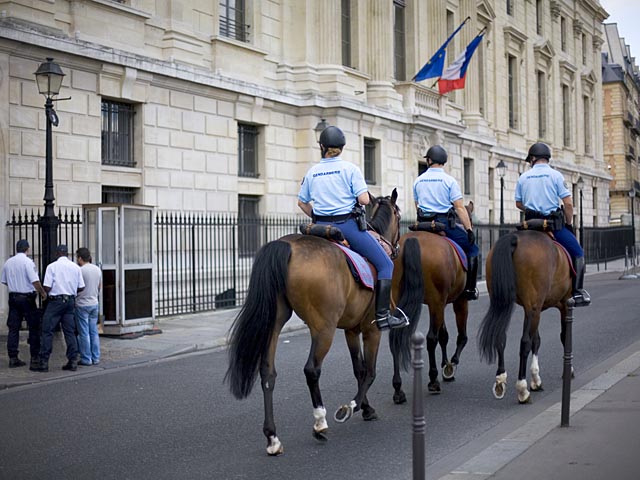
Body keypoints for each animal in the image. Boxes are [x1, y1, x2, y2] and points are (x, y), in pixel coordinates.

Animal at [225, 189, 400, 456]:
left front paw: (366, 408)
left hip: (276, 323)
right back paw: (320, 422)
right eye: (399, 215)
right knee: (311, 370)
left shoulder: (351, 330)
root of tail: (286, 245)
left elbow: (359, 370)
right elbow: (369, 371)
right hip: (323, 328)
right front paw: (351, 407)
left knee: (268, 373)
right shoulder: (372, 329)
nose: (397, 247)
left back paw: (273, 438)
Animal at [388, 202, 472, 402]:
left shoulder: (440, 303)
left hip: (399, 301)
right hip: (437, 301)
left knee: (395, 337)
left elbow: (444, 335)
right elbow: (459, 336)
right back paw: (433, 380)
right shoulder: (457, 301)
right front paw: (450, 365)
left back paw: (398, 389)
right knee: (431, 338)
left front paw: (446, 365)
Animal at [478, 231, 572, 404]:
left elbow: (537, 340)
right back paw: (522, 389)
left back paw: (500, 379)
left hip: (507, 302)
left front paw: (536, 379)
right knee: (524, 343)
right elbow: (563, 337)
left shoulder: (535, 309)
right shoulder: (563, 304)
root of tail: (515, 238)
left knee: (501, 337)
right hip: (534, 308)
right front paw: (568, 372)